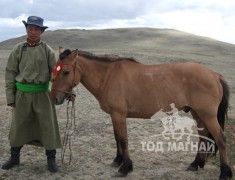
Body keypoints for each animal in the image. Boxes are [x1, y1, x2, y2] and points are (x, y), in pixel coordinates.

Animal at [50, 47, 232, 179]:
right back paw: (196, 164)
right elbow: (116, 138)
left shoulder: (119, 115)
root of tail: (214, 74)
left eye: (66, 72)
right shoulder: (114, 115)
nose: (55, 99)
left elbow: (123, 139)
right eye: (54, 71)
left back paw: (225, 172)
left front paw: (125, 167)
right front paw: (118, 160)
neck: (108, 76)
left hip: (207, 115)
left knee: (220, 138)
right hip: (197, 113)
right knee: (204, 136)